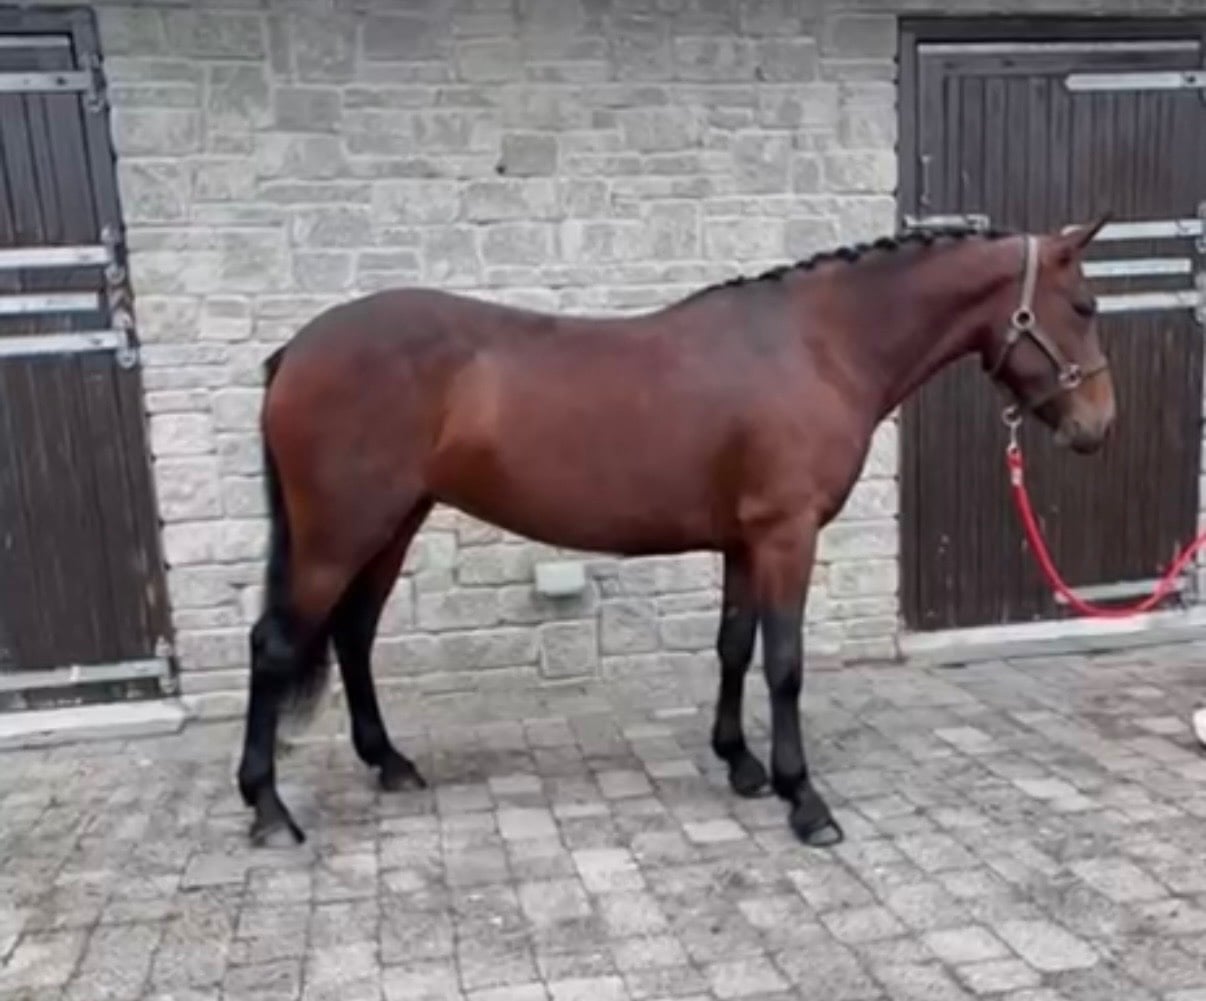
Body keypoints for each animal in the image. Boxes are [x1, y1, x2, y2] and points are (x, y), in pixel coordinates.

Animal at [235, 215, 1115, 849]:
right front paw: (804, 798)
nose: (1099, 425)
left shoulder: (744, 541)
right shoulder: (787, 535)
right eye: (1084, 307)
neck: (817, 345)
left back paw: (389, 763)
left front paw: (742, 764)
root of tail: (297, 350)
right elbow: (784, 663)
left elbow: (732, 646)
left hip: (391, 524)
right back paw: (270, 810)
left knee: (353, 633)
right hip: (340, 533)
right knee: (276, 645)